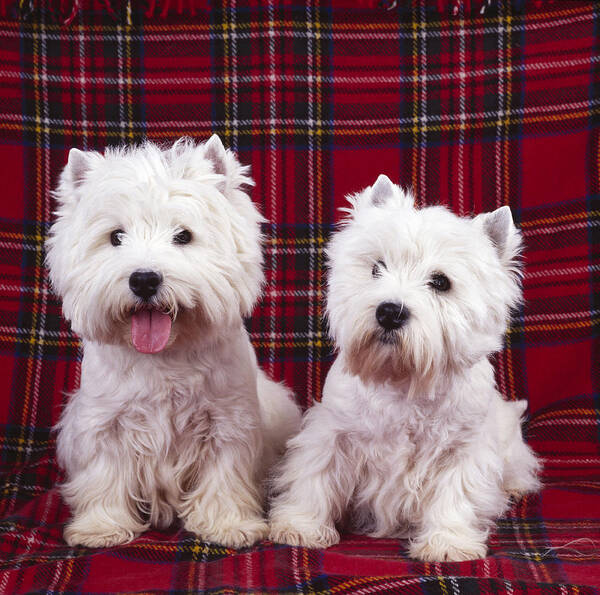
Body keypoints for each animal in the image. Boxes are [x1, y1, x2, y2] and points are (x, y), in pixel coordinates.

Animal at [45, 135, 304, 548]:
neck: (164, 357)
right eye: (116, 237)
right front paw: (100, 527)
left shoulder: (227, 423)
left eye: (183, 236)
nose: (144, 279)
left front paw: (228, 524)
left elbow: (224, 476)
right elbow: (105, 477)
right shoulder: (105, 424)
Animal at [268, 176, 540, 564]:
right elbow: (313, 475)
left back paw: (514, 487)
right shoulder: (331, 432)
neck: (402, 378)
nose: (389, 312)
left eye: (441, 282)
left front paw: (447, 543)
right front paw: (300, 526)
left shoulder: (462, 450)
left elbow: (454, 496)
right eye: (376, 267)